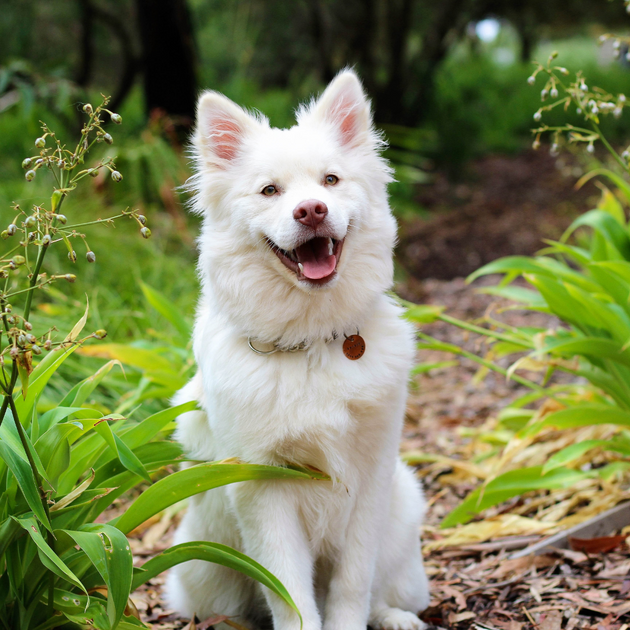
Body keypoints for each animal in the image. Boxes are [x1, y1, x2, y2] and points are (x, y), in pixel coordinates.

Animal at [165, 70, 432, 630]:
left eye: (330, 181)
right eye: (270, 190)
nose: (311, 211)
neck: (312, 342)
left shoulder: (370, 477)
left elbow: (353, 584)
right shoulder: (263, 488)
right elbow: (289, 594)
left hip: (403, 512)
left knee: (383, 591)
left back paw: (394, 617)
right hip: (203, 568)